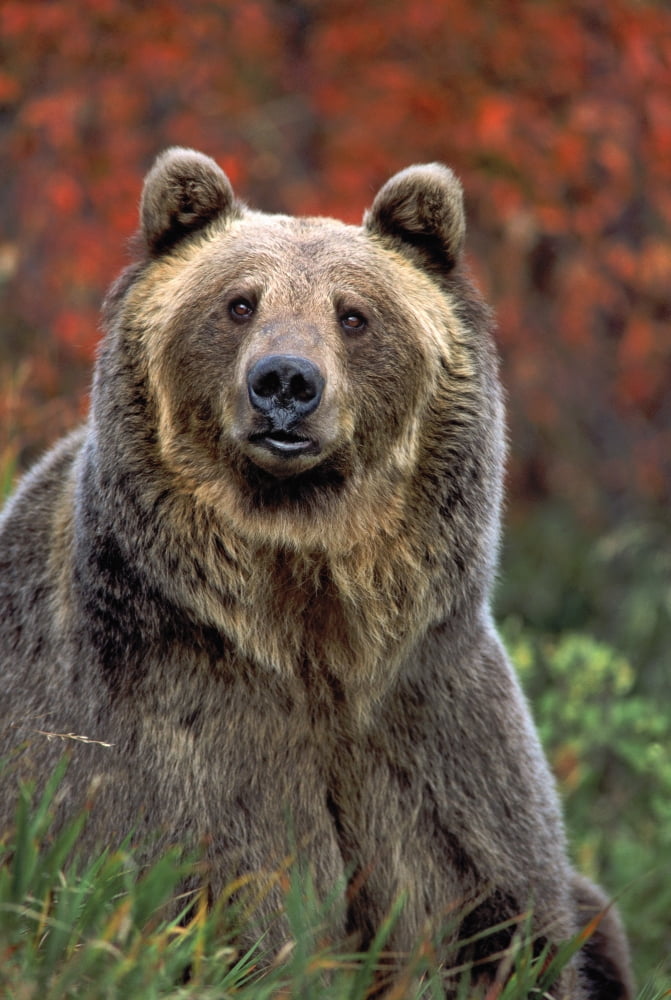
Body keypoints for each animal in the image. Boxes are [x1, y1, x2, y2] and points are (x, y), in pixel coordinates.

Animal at [0, 148, 633, 998]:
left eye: (354, 314)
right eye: (238, 303)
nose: (285, 382)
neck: (310, 622)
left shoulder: (433, 734)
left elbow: (506, 924)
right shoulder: (167, 733)